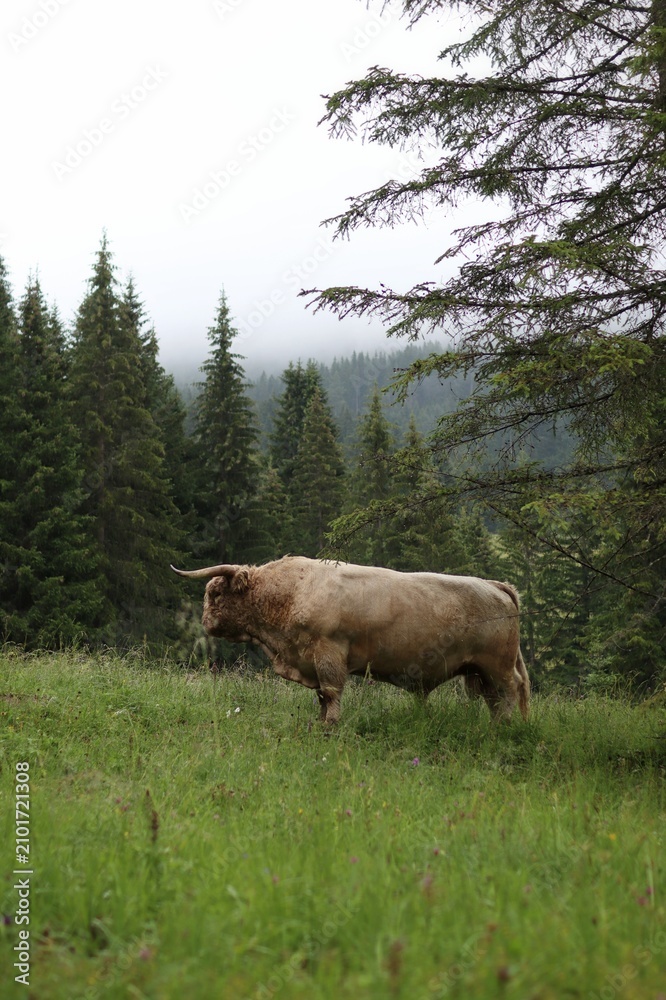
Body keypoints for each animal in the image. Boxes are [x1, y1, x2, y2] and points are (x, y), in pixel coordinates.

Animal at [171, 556, 530, 724]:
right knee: (496, 699)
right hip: (480, 670)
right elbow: (321, 697)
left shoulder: (329, 654)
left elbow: (331, 693)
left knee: (510, 692)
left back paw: (503, 726)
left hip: (497, 666)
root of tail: (495, 585)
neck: (290, 592)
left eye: (215, 593)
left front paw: (330, 725)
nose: (206, 622)